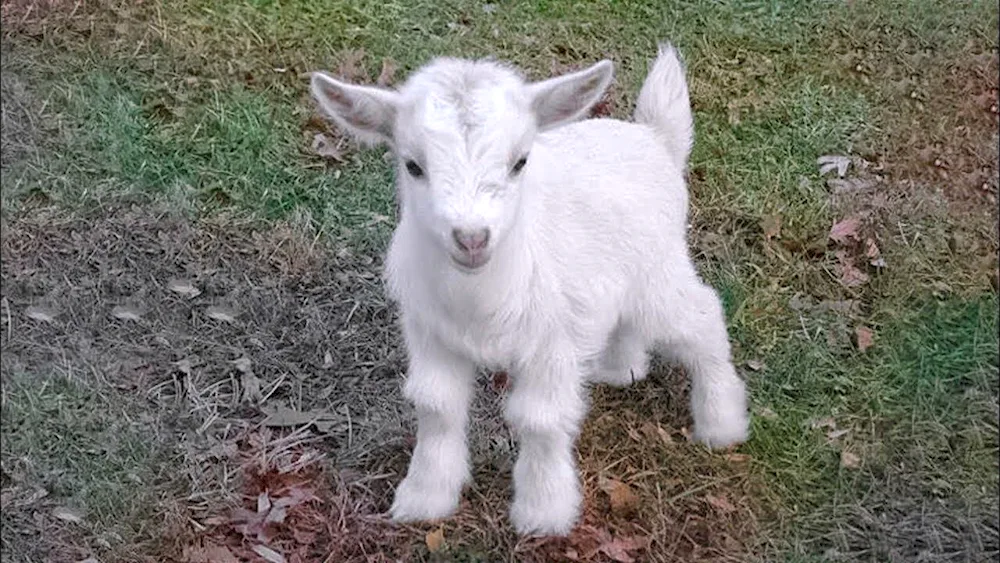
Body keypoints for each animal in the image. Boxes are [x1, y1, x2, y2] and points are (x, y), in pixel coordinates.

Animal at [312, 41, 752, 536]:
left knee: (703, 317)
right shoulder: (430, 333)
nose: (471, 239)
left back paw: (721, 423)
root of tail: (656, 138)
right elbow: (437, 407)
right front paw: (425, 497)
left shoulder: (552, 341)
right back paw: (622, 369)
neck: (479, 297)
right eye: (413, 165)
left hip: (659, 274)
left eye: (520, 161)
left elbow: (539, 419)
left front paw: (543, 513)